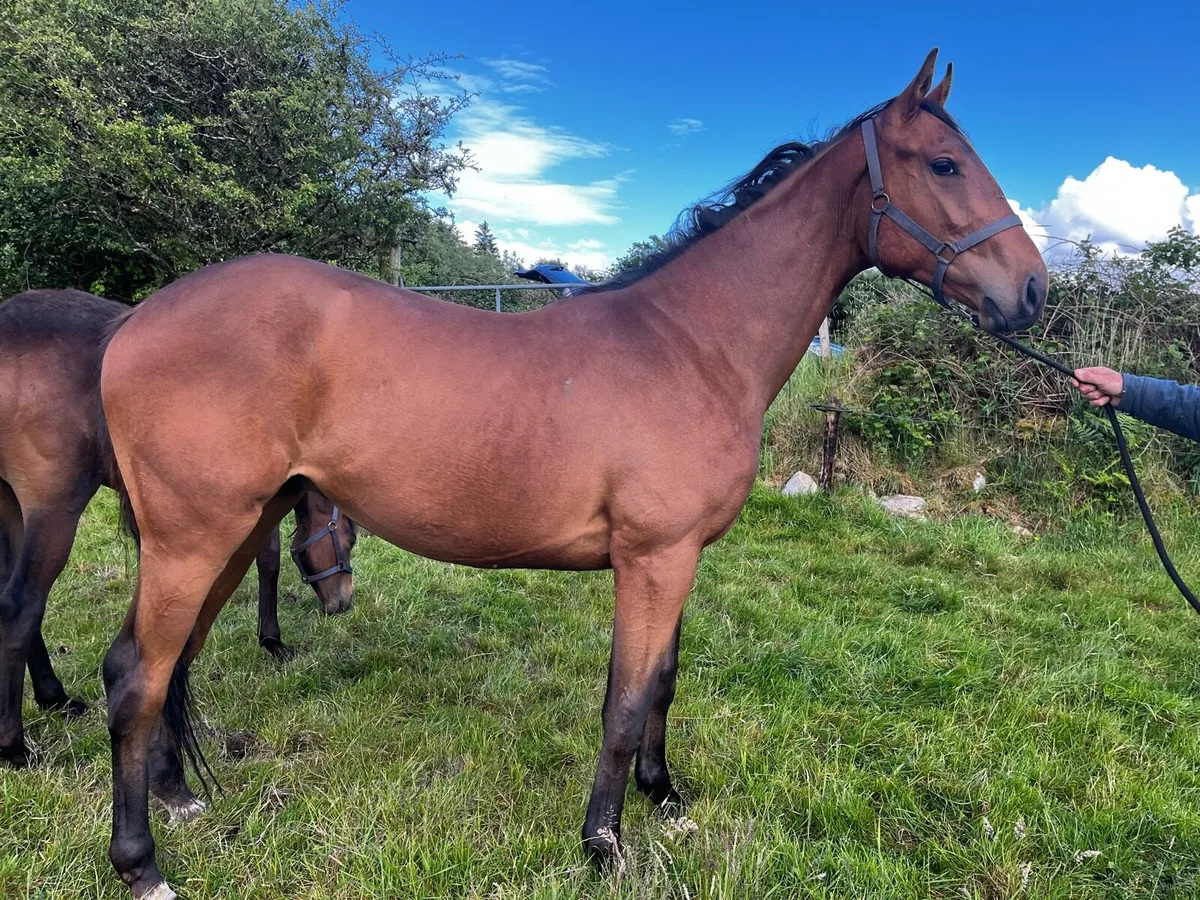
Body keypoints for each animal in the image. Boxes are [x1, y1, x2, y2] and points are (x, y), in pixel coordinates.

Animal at [0, 289, 356, 770]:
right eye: (349, 539)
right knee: (22, 606)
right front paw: (273, 641)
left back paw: (54, 697)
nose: (343, 601)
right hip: (53, 509)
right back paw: (15, 744)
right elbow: (269, 558)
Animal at [96, 49, 1047, 898]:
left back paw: (178, 800)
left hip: (237, 529)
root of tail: (135, 322)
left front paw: (665, 797)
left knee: (170, 665)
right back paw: (141, 866)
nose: (1035, 291)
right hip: (196, 536)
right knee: (137, 677)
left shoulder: (679, 559)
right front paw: (603, 843)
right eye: (946, 163)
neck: (692, 346)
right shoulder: (654, 560)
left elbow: (662, 682)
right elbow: (624, 704)